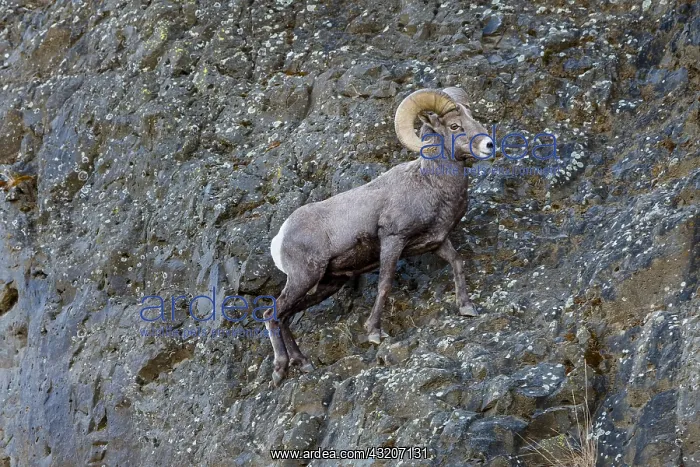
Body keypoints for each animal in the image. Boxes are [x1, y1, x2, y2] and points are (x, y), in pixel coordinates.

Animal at [265, 87, 492, 386]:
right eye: (455, 126)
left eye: (472, 117)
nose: (489, 144)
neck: (430, 184)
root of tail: (280, 238)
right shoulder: (393, 240)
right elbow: (385, 284)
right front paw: (374, 333)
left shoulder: (437, 242)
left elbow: (457, 262)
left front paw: (466, 308)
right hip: (304, 277)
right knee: (272, 314)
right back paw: (280, 370)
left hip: (325, 284)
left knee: (286, 317)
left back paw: (303, 364)